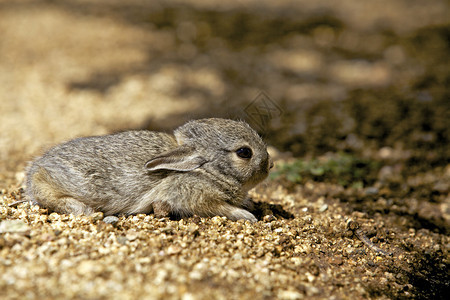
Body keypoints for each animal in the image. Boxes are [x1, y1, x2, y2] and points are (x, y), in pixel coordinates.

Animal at [26, 118, 272, 221]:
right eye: (244, 152)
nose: (270, 165)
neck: (207, 170)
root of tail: (37, 166)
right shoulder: (189, 194)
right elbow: (218, 207)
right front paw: (247, 215)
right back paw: (83, 209)